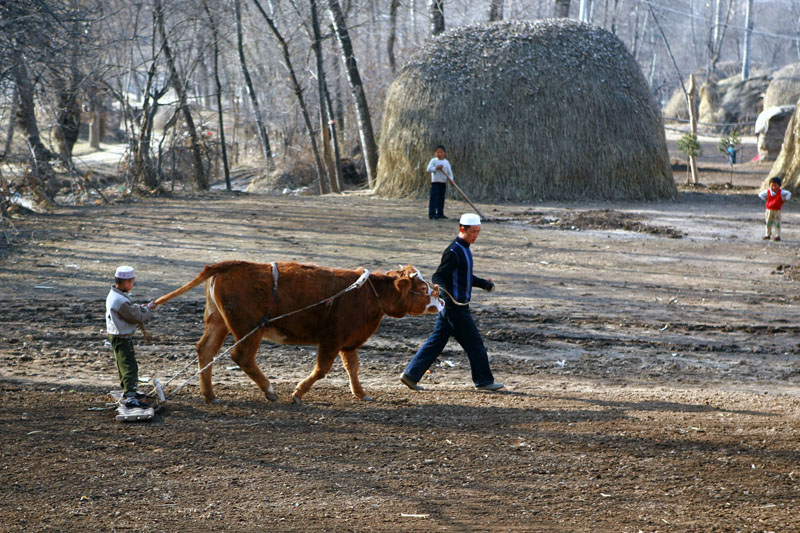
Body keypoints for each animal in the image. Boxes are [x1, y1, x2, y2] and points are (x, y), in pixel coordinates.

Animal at [153, 260, 440, 404]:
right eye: (422, 288)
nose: (443, 300)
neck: (371, 293)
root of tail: (229, 265)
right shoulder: (331, 338)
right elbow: (322, 369)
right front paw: (298, 393)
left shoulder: (348, 341)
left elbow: (353, 368)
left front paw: (361, 393)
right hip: (251, 327)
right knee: (241, 356)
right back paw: (269, 390)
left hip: (218, 321)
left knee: (206, 350)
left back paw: (210, 395)